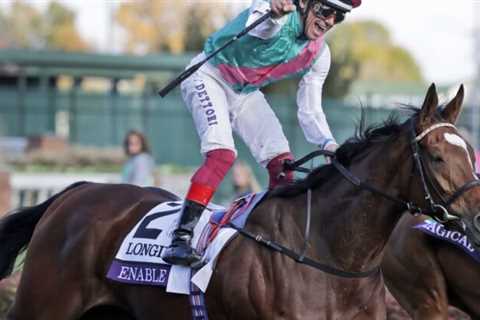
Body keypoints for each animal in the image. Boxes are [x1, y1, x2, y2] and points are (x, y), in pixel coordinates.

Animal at [0, 84, 480, 318]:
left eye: (470, 151)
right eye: (437, 155)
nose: (477, 214)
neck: (329, 256)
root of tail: (77, 191)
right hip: (44, 305)